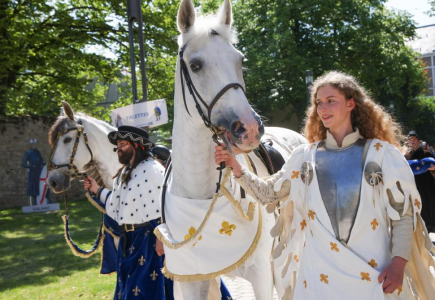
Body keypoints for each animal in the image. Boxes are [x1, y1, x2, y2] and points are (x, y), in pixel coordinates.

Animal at [157, 0, 306, 300]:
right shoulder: (191, 280)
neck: (201, 196)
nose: (248, 128)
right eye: (195, 65)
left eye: (240, 60)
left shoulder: (262, 276)